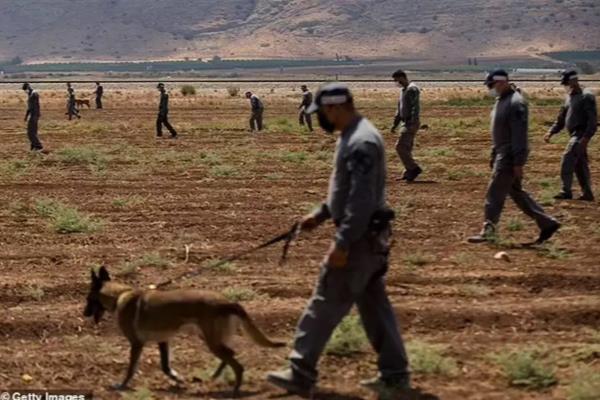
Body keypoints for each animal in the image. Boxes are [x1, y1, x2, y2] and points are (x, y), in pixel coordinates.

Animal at [83, 268, 284, 396]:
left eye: (87, 299)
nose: (84, 313)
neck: (119, 296)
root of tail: (227, 302)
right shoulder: (163, 341)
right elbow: (165, 366)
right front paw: (178, 380)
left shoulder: (136, 344)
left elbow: (131, 369)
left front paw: (122, 385)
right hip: (209, 337)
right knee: (230, 354)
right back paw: (214, 377)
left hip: (211, 341)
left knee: (237, 364)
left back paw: (234, 390)